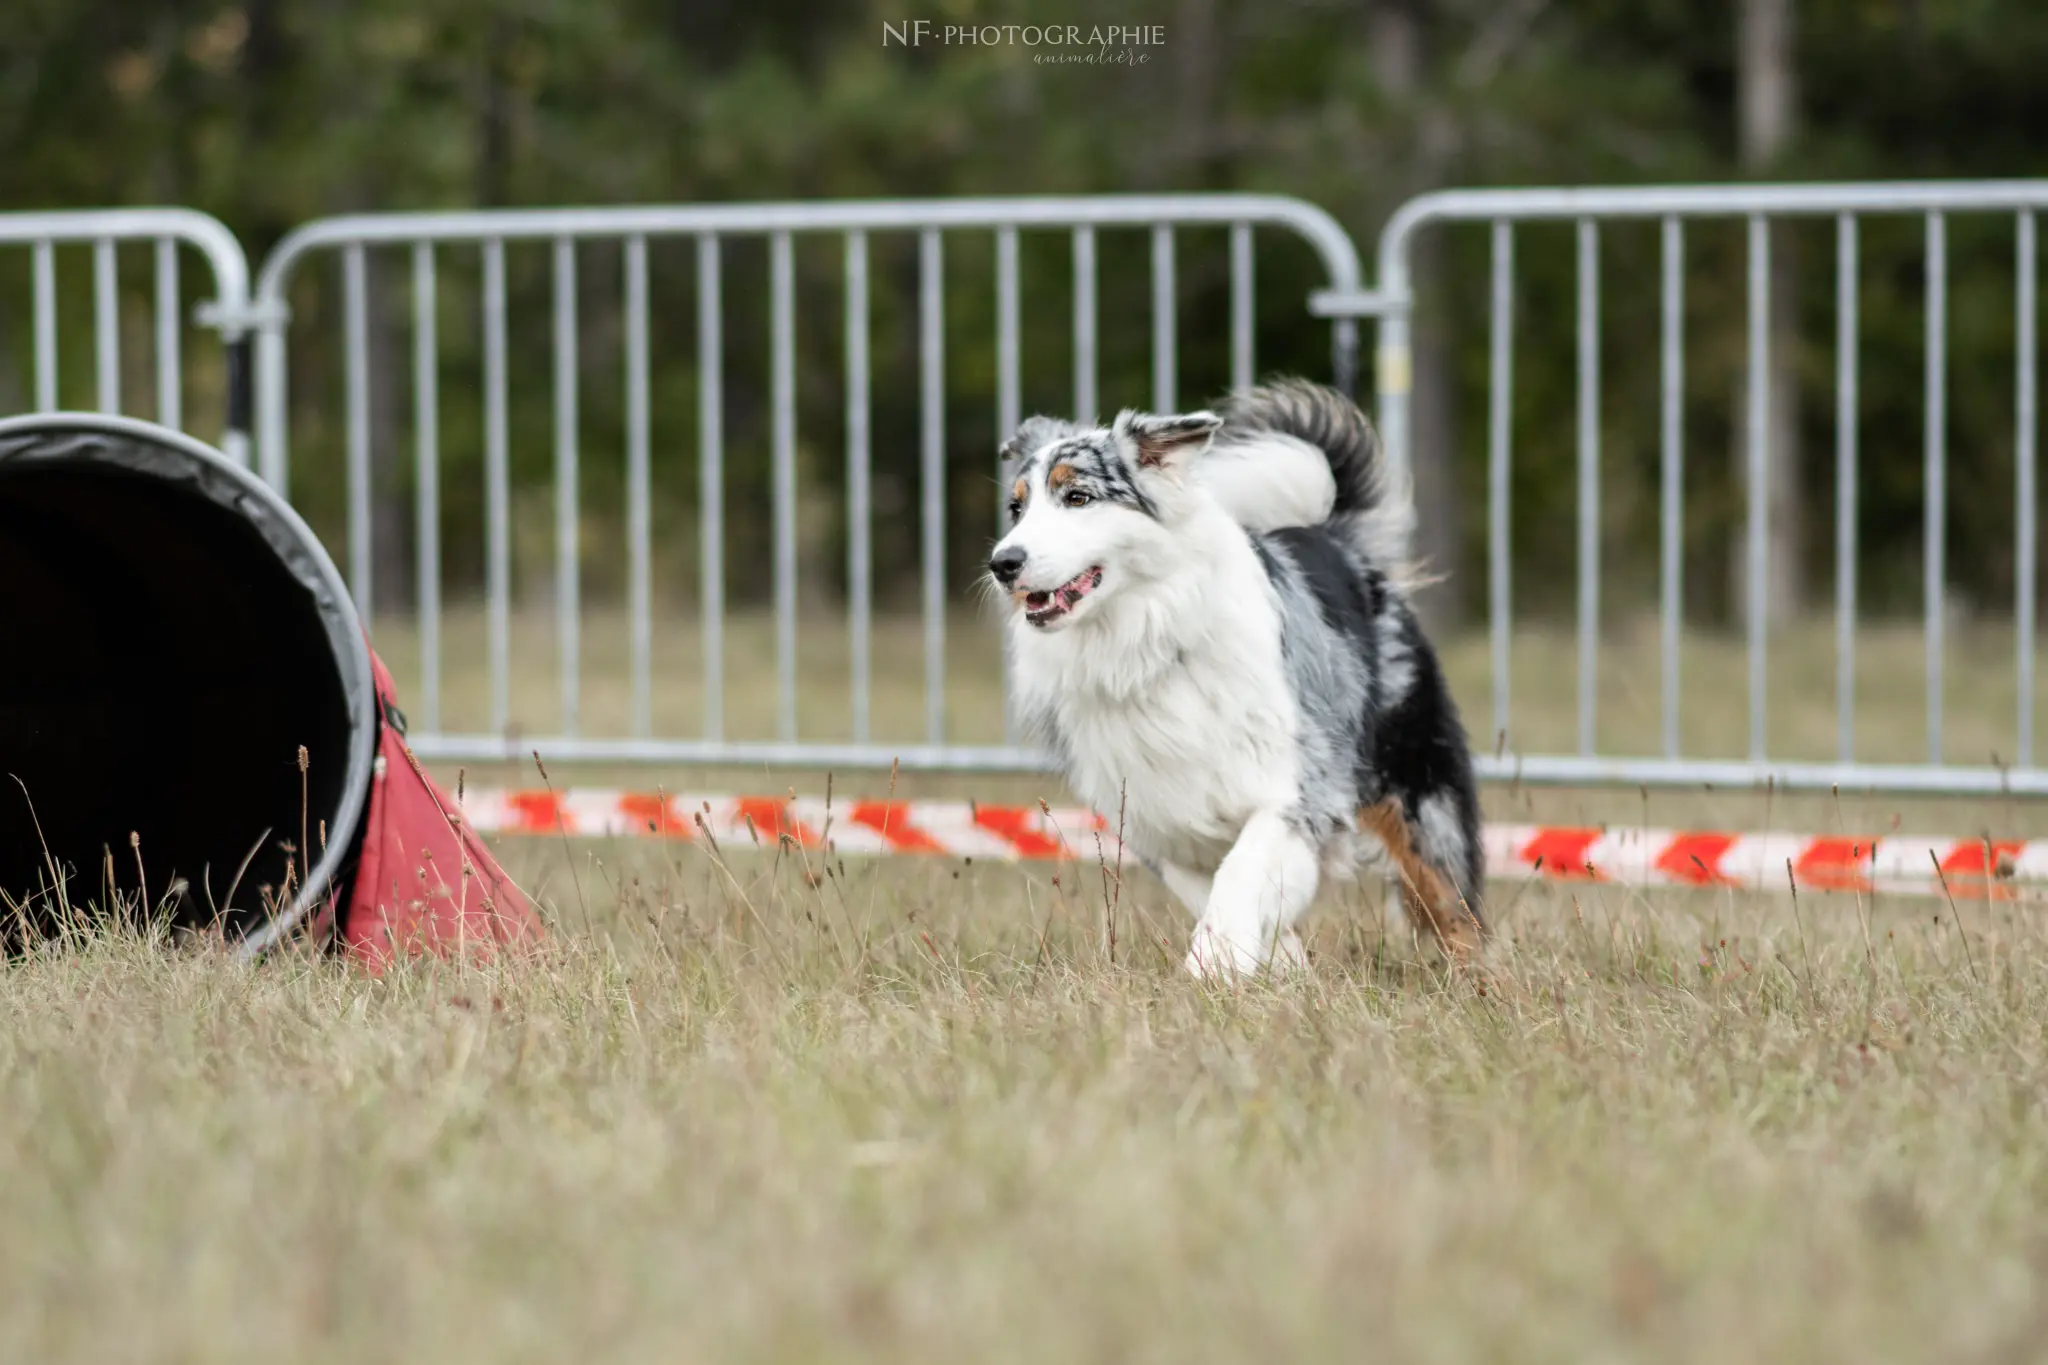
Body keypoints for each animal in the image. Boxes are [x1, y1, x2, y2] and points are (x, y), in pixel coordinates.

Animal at [983, 378, 1482, 978]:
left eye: (1077, 497)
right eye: (1017, 508)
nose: (1003, 563)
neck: (1146, 640)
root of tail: (1333, 539)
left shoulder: (1295, 788)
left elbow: (1242, 871)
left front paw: (1212, 966)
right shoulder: (1159, 821)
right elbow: (1223, 895)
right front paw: (1272, 969)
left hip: (1421, 794)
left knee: (1453, 905)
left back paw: (1479, 984)